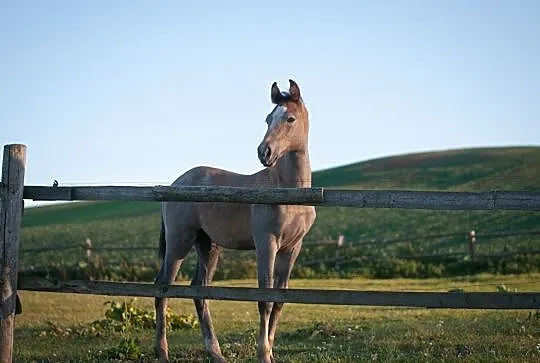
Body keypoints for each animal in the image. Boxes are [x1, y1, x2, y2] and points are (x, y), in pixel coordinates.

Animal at [154, 80, 316, 363]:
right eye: (267, 119)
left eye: (290, 118)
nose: (265, 152)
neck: (287, 191)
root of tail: (175, 183)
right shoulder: (266, 244)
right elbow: (265, 299)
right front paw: (263, 353)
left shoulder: (293, 247)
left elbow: (279, 300)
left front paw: (270, 351)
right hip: (179, 242)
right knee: (162, 288)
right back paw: (162, 352)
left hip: (208, 246)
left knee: (200, 290)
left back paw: (216, 353)